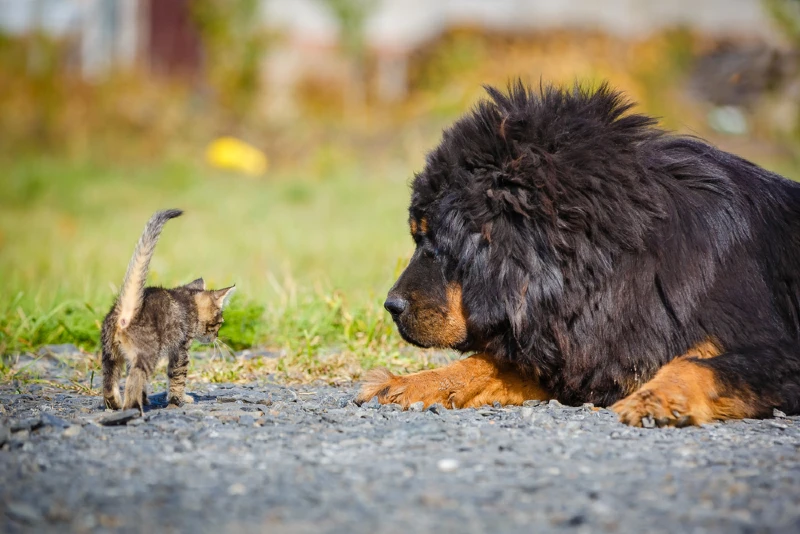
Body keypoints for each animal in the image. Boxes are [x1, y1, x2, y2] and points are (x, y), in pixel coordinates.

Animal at [101, 209, 236, 414]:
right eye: (219, 323)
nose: (216, 337)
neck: (188, 300)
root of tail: (127, 310)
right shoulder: (181, 349)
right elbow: (178, 377)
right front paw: (179, 400)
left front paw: (149, 398)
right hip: (147, 354)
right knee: (134, 380)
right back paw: (133, 409)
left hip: (110, 353)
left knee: (110, 382)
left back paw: (115, 405)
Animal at [356, 80, 800, 432]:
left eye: (438, 243)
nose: (390, 306)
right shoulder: (580, 347)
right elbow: (485, 364)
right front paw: (411, 382)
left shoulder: (777, 349)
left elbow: (702, 364)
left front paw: (655, 399)